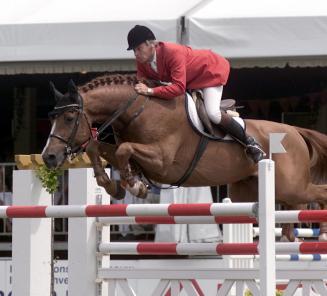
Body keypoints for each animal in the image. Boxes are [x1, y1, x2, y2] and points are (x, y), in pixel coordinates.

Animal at [41, 73, 327, 242]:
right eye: (52, 118)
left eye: (69, 118)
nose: (49, 157)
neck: (138, 112)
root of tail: (296, 131)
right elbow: (96, 148)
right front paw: (114, 185)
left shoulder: (163, 162)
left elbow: (124, 151)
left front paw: (135, 185)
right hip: (246, 191)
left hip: (292, 187)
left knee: (317, 194)